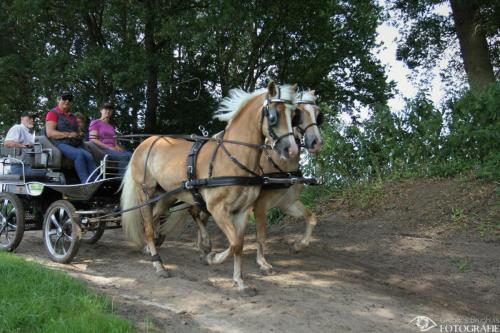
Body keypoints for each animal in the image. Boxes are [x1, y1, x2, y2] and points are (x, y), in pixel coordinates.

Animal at [120, 81, 300, 294]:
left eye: (294, 115)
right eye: (273, 115)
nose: (292, 150)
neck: (234, 158)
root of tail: (145, 143)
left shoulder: (243, 210)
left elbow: (239, 244)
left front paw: (239, 282)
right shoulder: (217, 208)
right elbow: (234, 242)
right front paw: (212, 257)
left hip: (166, 195)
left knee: (155, 218)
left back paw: (152, 247)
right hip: (145, 192)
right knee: (148, 226)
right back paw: (159, 265)